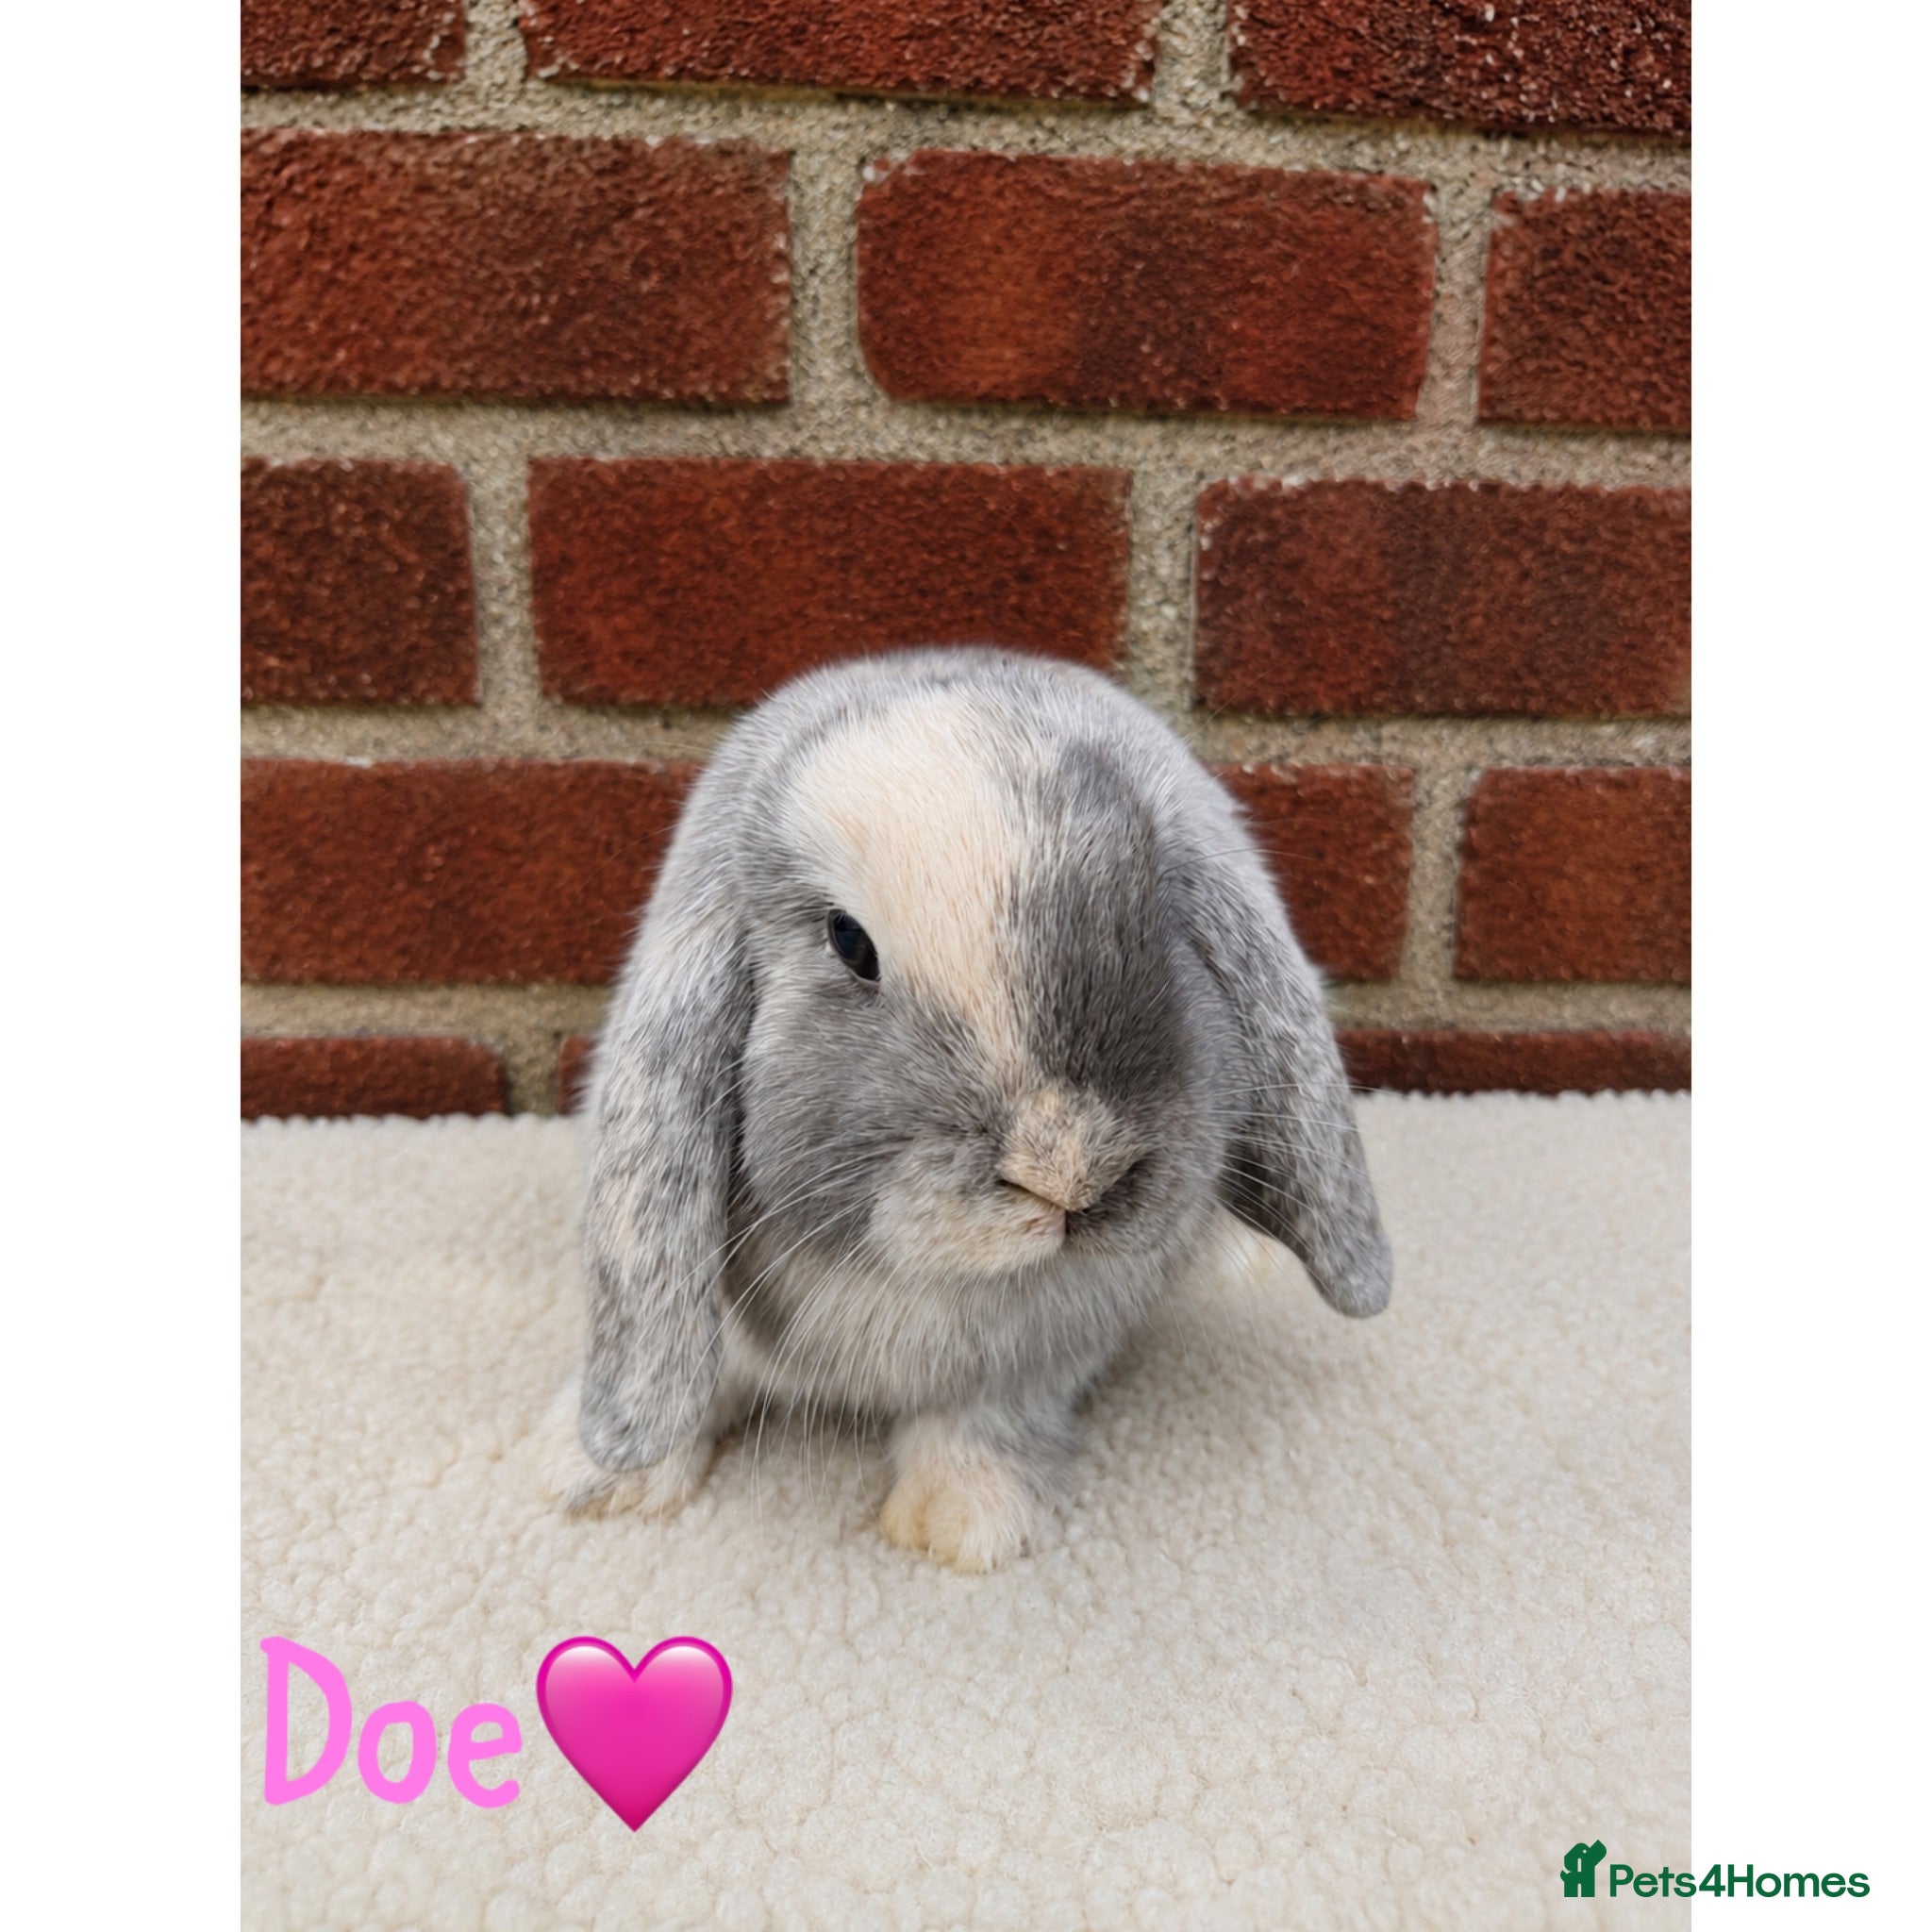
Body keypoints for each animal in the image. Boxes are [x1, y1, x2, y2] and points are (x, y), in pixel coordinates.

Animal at [546, 647, 1391, 1571]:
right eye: (848, 942)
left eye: (1158, 910)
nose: (1069, 1167)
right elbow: (693, 1382)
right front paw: (596, 1482)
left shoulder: (1041, 1360)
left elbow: (985, 1420)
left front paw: (962, 1522)